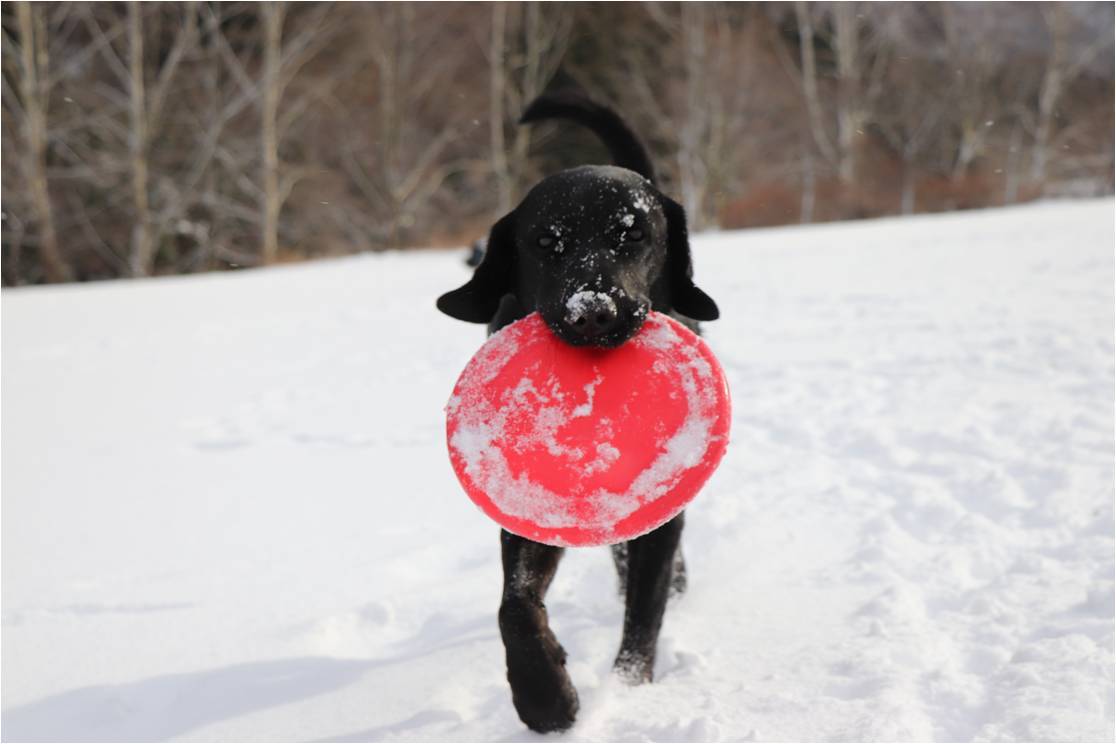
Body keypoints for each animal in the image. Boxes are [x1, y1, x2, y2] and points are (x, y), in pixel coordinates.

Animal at [433, 91, 714, 731]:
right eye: (544, 243)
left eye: (633, 236)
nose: (592, 312)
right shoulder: (525, 510)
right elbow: (515, 606)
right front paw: (544, 698)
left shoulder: (656, 518)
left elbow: (643, 619)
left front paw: (627, 695)